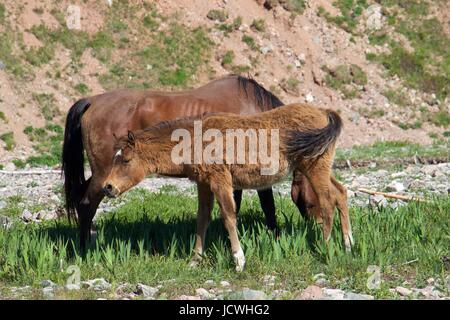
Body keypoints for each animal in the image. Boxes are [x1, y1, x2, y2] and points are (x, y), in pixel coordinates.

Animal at [62, 74, 296, 248]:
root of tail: (93, 101)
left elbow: (234, 207)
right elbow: (268, 206)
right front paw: (276, 238)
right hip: (103, 174)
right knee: (86, 205)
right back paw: (84, 250)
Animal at [103, 104, 354, 272]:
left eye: (126, 160)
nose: (108, 187)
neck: (195, 140)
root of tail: (324, 112)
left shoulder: (220, 179)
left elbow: (228, 216)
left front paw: (239, 260)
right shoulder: (204, 184)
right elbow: (202, 218)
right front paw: (195, 260)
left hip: (314, 167)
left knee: (327, 200)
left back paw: (325, 248)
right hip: (321, 168)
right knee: (341, 193)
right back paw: (348, 244)